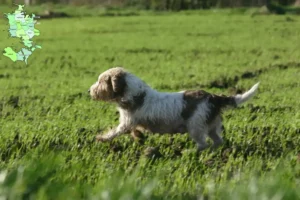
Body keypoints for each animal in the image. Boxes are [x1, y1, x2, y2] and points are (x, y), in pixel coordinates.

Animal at [88, 67, 258, 152]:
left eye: (101, 81)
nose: (89, 91)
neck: (133, 93)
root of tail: (213, 97)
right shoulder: (132, 122)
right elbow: (134, 131)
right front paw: (139, 137)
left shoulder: (126, 122)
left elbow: (115, 132)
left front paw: (101, 138)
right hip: (211, 125)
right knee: (217, 140)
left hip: (196, 127)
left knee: (203, 144)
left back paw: (190, 152)